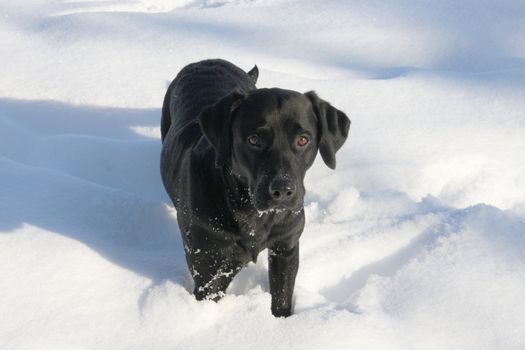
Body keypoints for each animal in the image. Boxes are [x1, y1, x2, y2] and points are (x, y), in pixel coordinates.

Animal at [159, 58, 348, 316]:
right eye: (254, 140)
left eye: (303, 139)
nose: (283, 190)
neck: (253, 214)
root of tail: (207, 61)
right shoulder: (209, 267)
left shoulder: (286, 246)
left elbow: (282, 298)